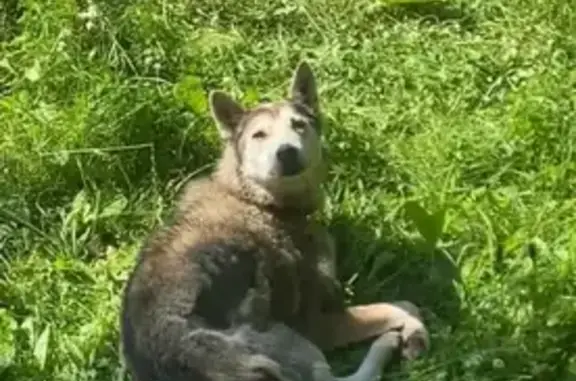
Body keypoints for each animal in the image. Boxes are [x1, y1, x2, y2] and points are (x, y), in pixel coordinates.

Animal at [120, 60, 428, 380]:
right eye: (259, 135)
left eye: (299, 125)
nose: (287, 152)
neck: (259, 200)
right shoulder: (318, 324)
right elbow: (404, 306)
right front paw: (414, 334)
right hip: (295, 342)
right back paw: (388, 342)